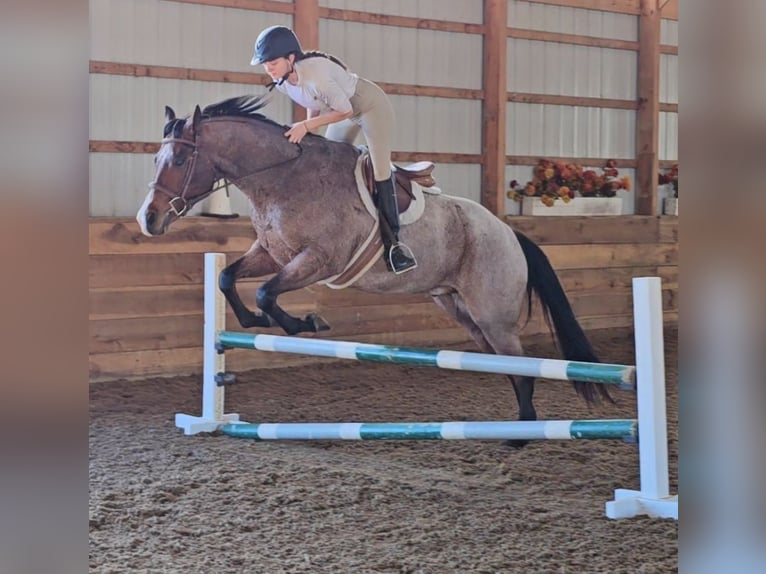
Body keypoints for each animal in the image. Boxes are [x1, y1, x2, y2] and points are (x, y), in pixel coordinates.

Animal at [135, 94, 608, 440]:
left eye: (179, 161)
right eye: (156, 161)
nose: (148, 219)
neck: (283, 178)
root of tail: (510, 232)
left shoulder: (317, 261)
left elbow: (268, 293)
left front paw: (306, 323)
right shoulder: (273, 254)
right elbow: (227, 277)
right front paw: (255, 322)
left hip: (493, 313)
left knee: (520, 366)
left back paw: (522, 432)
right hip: (462, 310)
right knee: (507, 364)